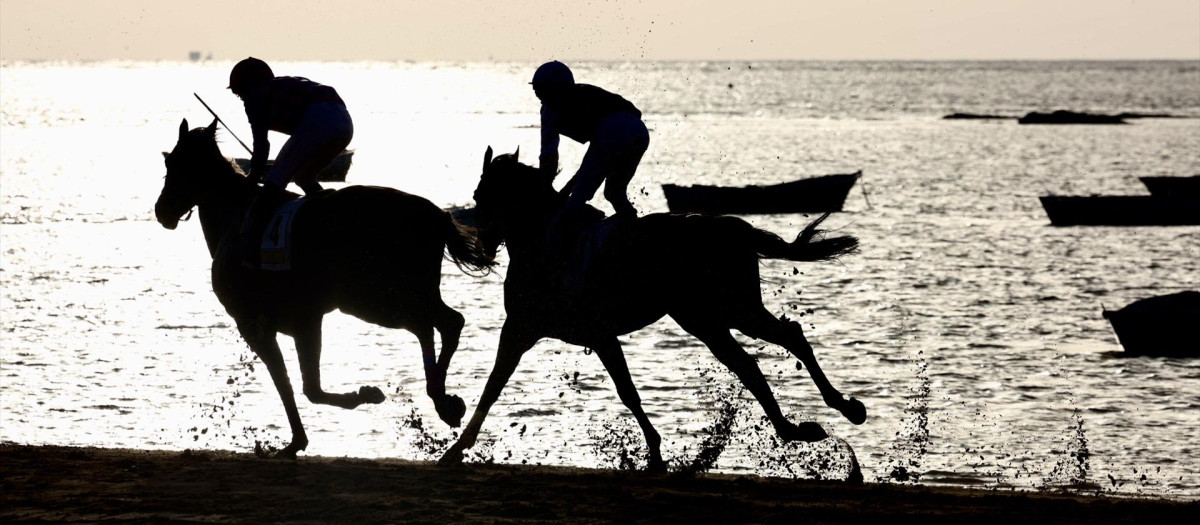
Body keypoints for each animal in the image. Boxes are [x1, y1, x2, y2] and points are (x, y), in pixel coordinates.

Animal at [154, 119, 495, 458]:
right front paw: (300, 438)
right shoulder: (302, 321)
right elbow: (303, 386)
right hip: (396, 295)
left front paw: (356, 400)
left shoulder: (258, 324)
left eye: (173, 162)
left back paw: (442, 401)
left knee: (437, 323)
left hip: (373, 297)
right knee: (437, 324)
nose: (161, 210)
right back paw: (444, 401)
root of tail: (436, 215)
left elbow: (294, 385)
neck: (234, 217)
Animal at [439, 147, 867, 471]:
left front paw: (656, 454)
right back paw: (800, 427)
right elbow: (493, 386)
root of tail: (737, 228)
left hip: (732, 308)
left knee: (786, 339)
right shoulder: (523, 329)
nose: (480, 242)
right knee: (751, 362)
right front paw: (455, 448)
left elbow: (627, 392)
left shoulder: (594, 332)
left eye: (487, 196)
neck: (546, 245)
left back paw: (842, 409)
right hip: (705, 319)